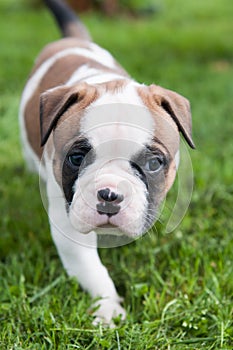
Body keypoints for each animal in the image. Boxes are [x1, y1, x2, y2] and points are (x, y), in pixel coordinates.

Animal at [20, 0, 195, 326]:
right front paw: (108, 309)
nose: (110, 195)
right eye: (77, 158)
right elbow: (92, 270)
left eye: (154, 164)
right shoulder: (69, 220)